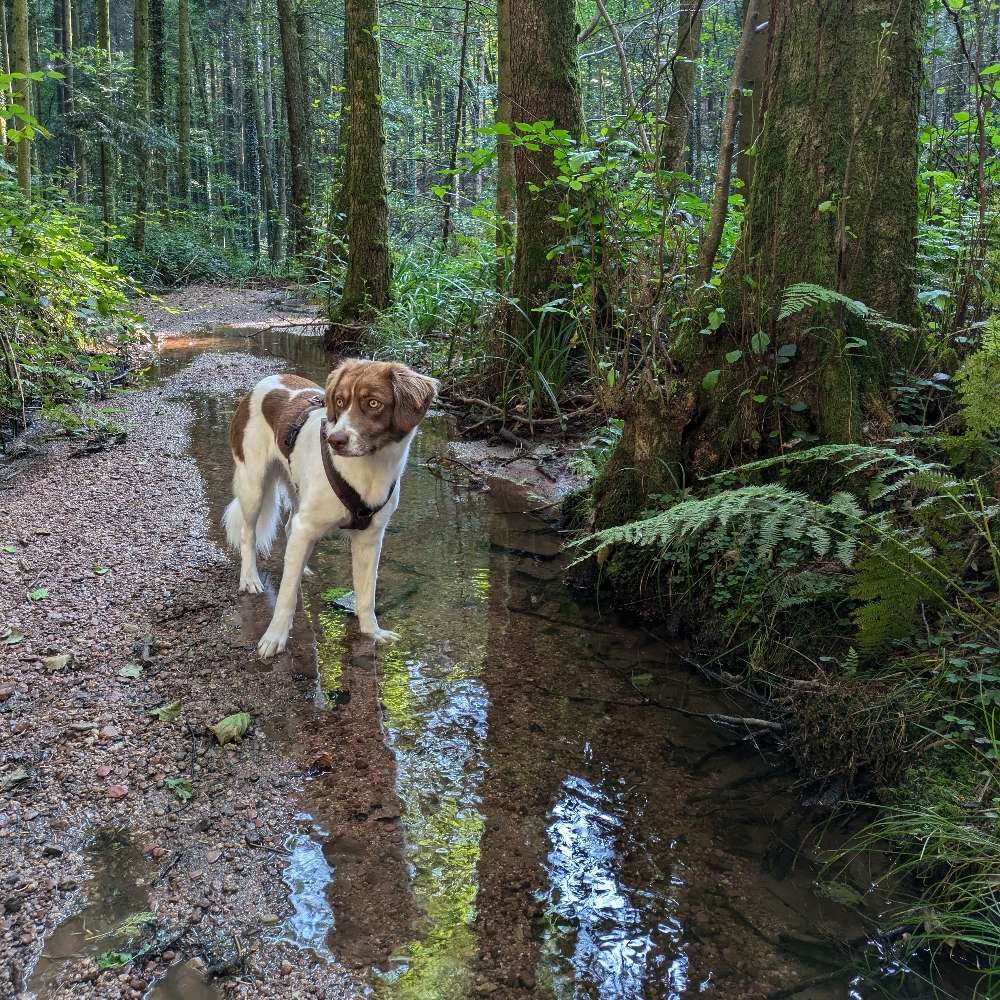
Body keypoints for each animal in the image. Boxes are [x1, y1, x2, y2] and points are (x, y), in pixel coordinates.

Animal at [227, 360, 438, 656]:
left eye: (373, 403)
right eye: (339, 401)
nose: (335, 440)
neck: (369, 470)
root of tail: (266, 381)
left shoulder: (370, 538)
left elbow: (366, 594)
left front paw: (371, 632)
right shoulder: (307, 524)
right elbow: (285, 597)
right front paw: (275, 637)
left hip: (296, 487)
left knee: (289, 528)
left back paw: (300, 566)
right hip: (253, 483)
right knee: (249, 533)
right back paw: (250, 578)